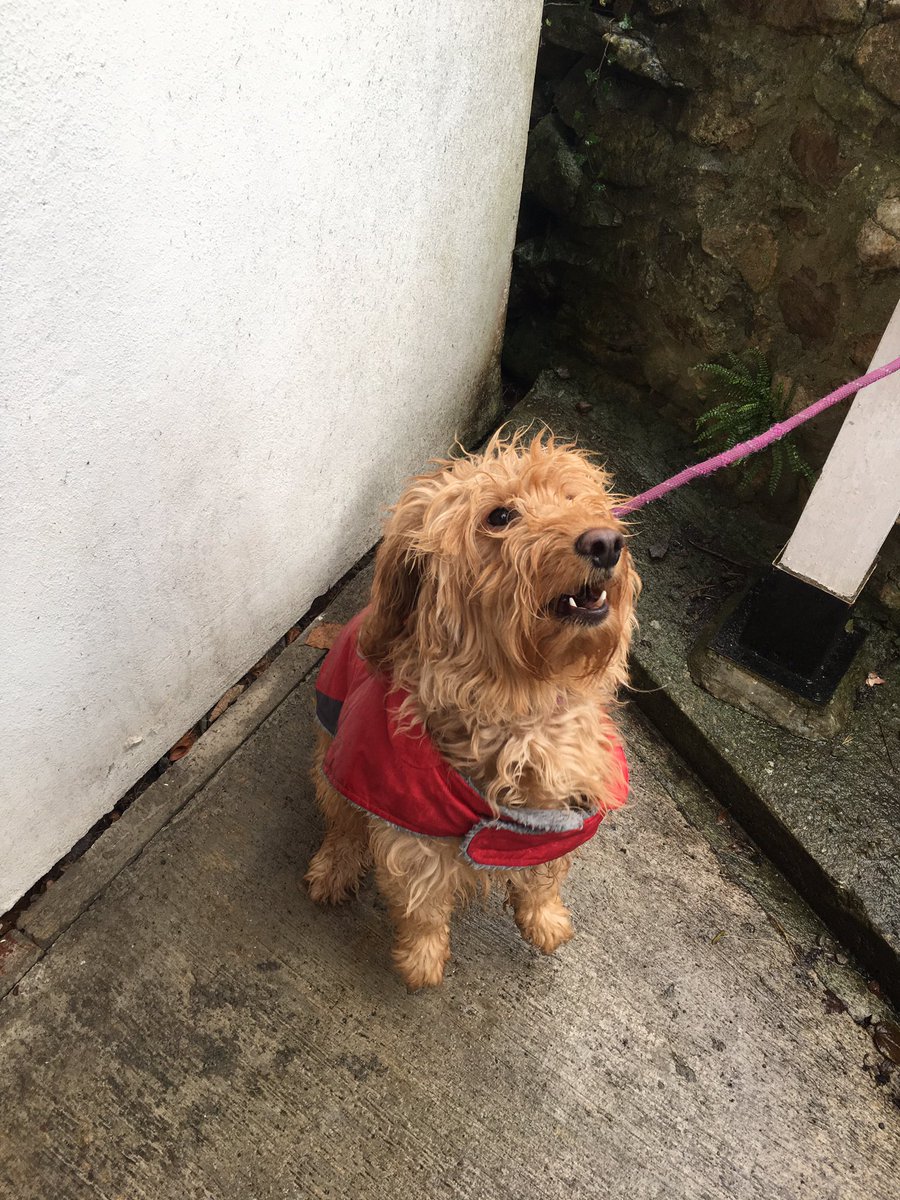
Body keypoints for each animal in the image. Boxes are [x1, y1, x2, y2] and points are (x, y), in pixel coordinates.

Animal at [304, 427, 643, 988]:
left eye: (572, 497)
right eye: (500, 516)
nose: (605, 543)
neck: (520, 703)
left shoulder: (553, 820)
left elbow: (542, 877)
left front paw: (544, 919)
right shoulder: (410, 827)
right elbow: (422, 902)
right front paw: (421, 960)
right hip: (335, 761)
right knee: (342, 822)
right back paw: (333, 869)